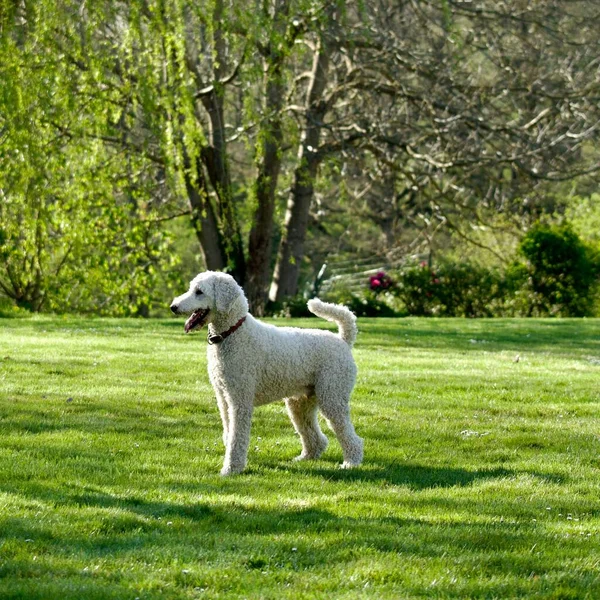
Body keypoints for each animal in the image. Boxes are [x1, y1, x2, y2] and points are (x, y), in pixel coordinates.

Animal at [171, 270, 364, 474]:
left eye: (199, 292)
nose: (173, 307)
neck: (233, 333)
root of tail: (343, 340)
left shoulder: (239, 400)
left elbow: (236, 439)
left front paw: (231, 469)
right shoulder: (223, 399)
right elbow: (229, 434)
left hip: (332, 397)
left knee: (351, 437)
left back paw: (351, 462)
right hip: (300, 403)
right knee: (315, 437)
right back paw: (304, 458)